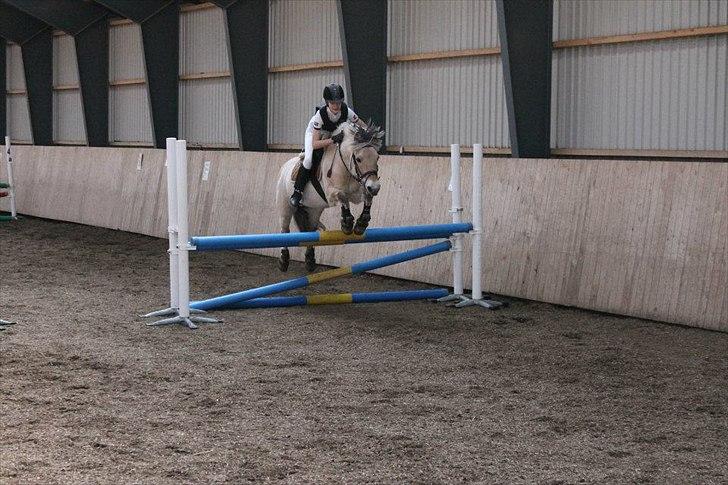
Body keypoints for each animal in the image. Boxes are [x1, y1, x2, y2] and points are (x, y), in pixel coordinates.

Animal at [274, 120, 386, 272]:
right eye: (358, 159)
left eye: (377, 157)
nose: (375, 187)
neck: (345, 167)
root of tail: (284, 167)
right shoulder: (331, 193)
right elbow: (342, 196)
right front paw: (347, 223)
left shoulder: (358, 192)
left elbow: (368, 198)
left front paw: (361, 223)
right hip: (285, 206)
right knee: (284, 229)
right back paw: (283, 261)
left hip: (314, 210)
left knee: (311, 230)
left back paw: (310, 261)